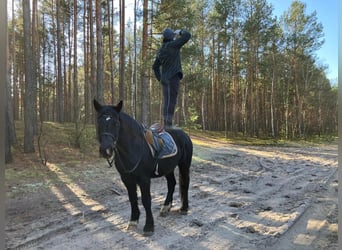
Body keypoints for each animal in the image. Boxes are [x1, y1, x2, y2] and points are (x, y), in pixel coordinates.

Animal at [93, 98, 192, 235]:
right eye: (99, 122)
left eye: (116, 123)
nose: (105, 150)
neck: (133, 148)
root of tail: (184, 134)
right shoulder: (127, 179)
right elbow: (133, 199)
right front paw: (133, 221)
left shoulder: (144, 179)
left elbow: (146, 200)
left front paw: (149, 226)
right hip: (168, 168)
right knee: (172, 183)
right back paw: (166, 207)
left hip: (184, 165)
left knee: (185, 183)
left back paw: (184, 208)